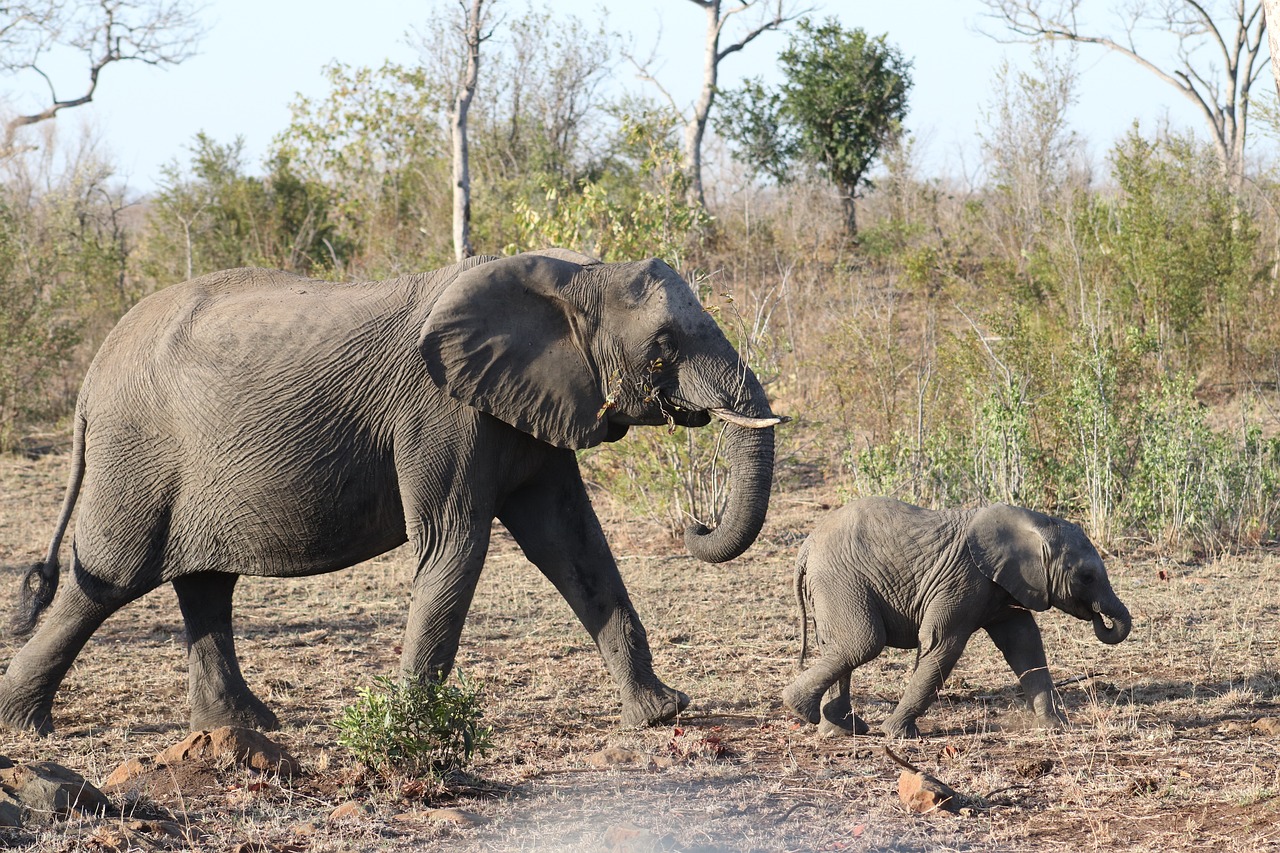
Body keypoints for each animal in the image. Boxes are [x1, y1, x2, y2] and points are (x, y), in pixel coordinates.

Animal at [0, 247, 778, 732]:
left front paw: (662, 714)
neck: (567, 273)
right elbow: (454, 547)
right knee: (108, 581)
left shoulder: (527, 407)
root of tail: (92, 376)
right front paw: (412, 726)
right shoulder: (442, 411)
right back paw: (26, 727)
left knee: (204, 584)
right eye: (663, 347)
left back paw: (241, 725)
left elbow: (574, 546)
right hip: (137, 452)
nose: (695, 527)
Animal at [778, 494, 1131, 732]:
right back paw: (803, 711)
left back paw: (839, 729)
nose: (1100, 618)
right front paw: (896, 734)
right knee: (862, 642)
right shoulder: (962, 578)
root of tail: (806, 547)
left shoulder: (1002, 586)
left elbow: (1025, 645)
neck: (1034, 523)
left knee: (838, 644)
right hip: (840, 580)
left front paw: (1055, 726)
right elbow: (942, 645)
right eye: (1087, 577)